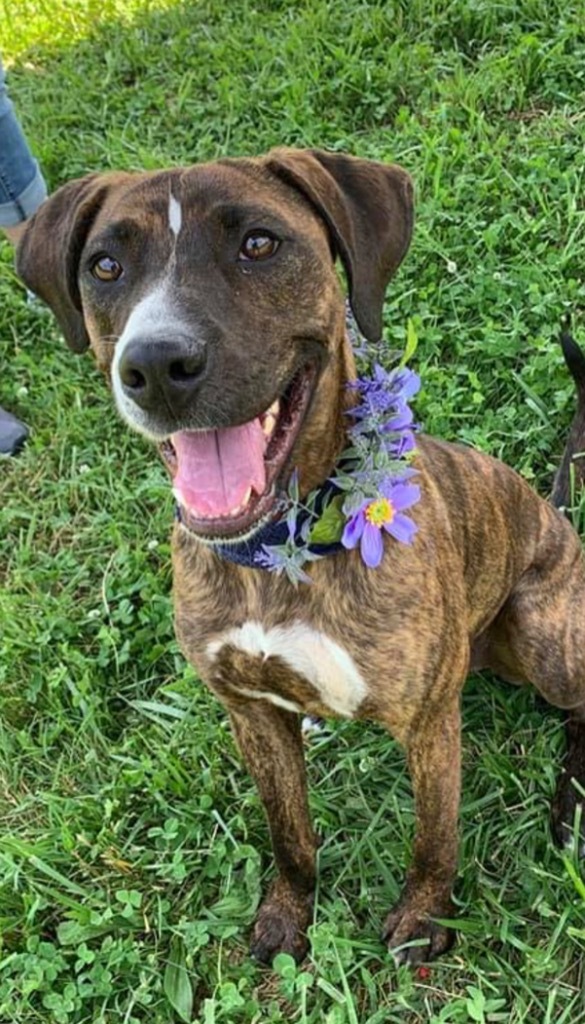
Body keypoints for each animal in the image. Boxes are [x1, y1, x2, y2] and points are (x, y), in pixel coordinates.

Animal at [16, 148, 585, 962]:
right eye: (105, 265)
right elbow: (289, 833)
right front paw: (288, 915)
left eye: (258, 243)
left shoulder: (429, 725)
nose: (155, 364)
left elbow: (434, 839)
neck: (275, 555)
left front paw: (423, 919)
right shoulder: (250, 714)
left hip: (544, 637)